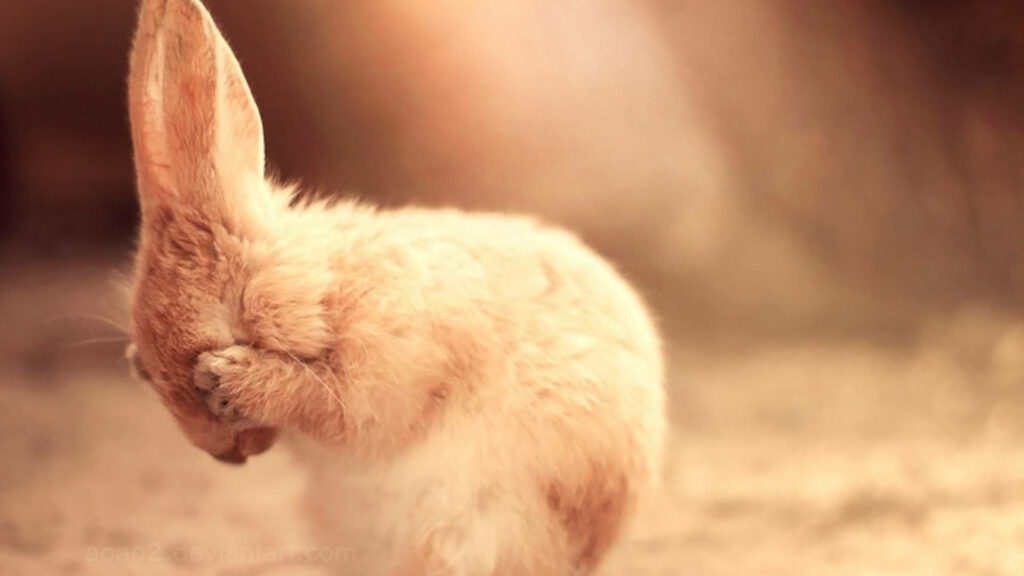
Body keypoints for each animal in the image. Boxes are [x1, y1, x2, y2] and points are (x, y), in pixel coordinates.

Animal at [124, 0, 666, 574]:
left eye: (220, 332)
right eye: (143, 370)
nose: (225, 456)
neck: (325, 288)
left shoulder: (390, 373)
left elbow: (332, 406)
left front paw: (231, 379)